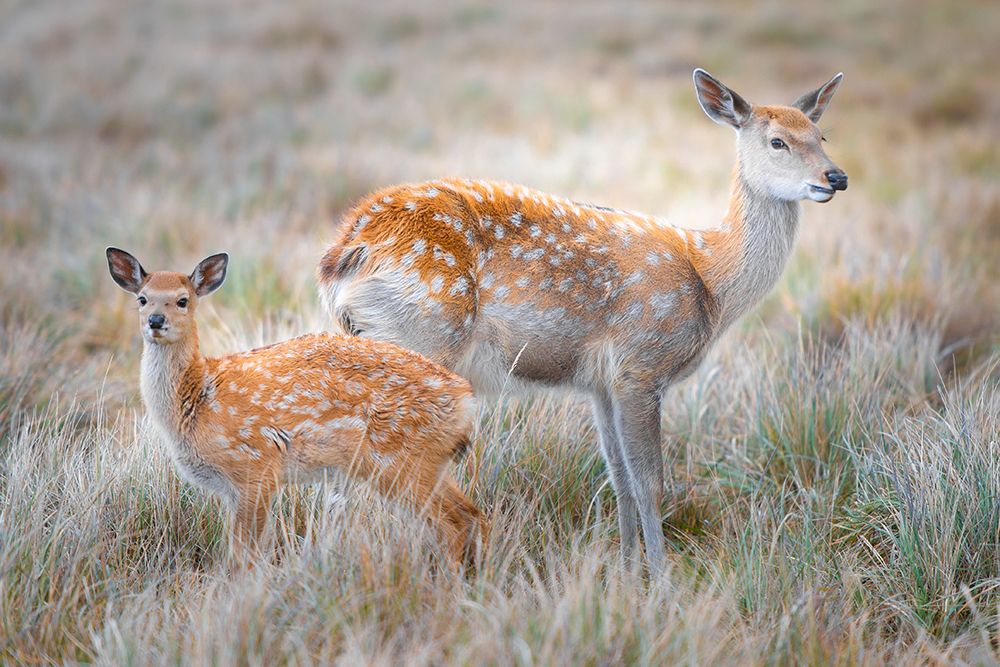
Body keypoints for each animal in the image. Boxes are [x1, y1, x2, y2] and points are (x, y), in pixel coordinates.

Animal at [106, 248, 485, 568]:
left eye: (182, 300)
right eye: (142, 298)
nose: (156, 321)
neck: (199, 398)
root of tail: (465, 400)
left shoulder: (256, 467)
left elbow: (243, 555)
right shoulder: (233, 489)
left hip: (402, 459)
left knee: (453, 520)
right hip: (425, 462)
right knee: (469, 512)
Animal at [316, 69, 848, 575]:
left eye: (821, 135)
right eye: (777, 141)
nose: (836, 177)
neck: (710, 279)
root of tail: (348, 251)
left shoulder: (600, 383)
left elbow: (620, 480)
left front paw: (627, 572)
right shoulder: (640, 364)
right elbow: (650, 482)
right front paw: (662, 580)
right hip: (423, 337)